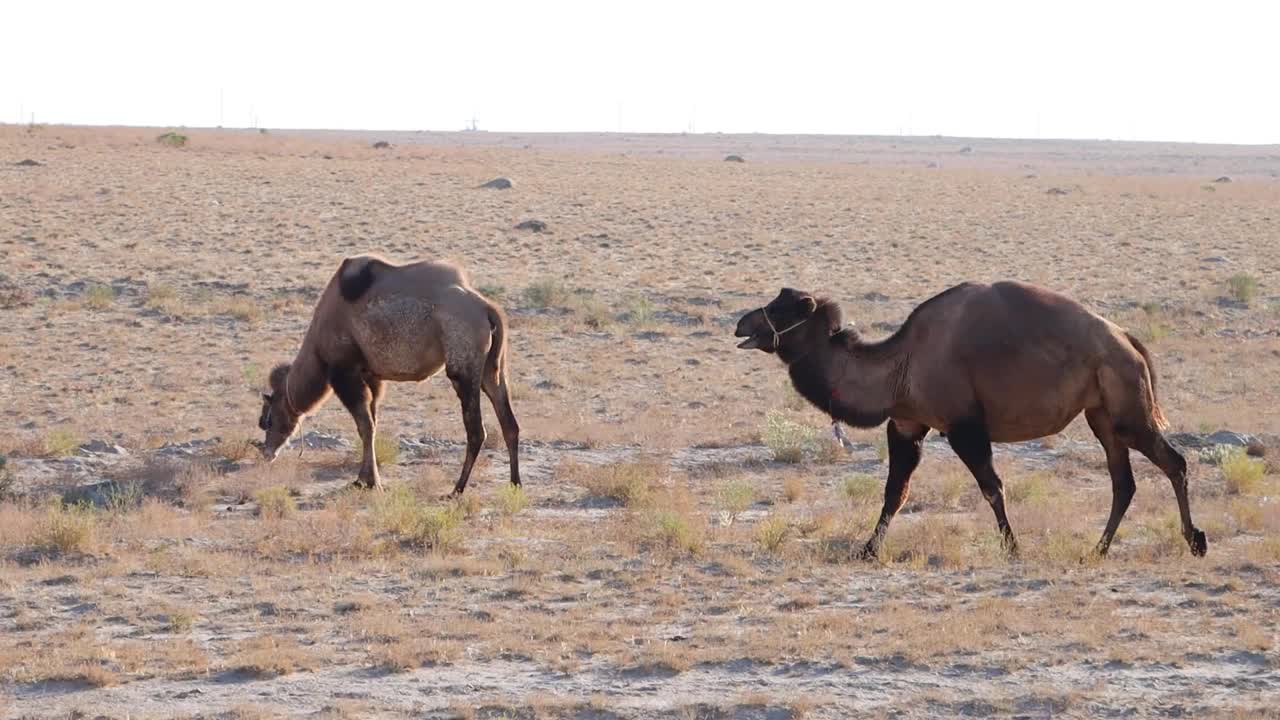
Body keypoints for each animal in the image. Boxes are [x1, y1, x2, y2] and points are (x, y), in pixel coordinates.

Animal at [254, 254, 519, 497]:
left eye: (268, 419)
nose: (267, 453)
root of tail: (487, 308)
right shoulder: (371, 375)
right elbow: (372, 423)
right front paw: (365, 479)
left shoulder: (345, 372)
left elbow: (365, 426)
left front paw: (369, 482)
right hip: (492, 368)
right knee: (508, 421)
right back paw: (515, 484)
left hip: (463, 365)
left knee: (476, 430)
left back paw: (457, 489)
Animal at [737, 283, 1203, 558]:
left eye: (783, 309)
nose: (742, 322)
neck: (900, 364)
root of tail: (1128, 340)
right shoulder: (907, 424)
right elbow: (894, 493)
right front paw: (868, 549)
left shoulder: (963, 426)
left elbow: (992, 487)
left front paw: (1012, 548)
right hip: (1100, 414)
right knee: (1123, 482)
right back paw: (1098, 549)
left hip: (1125, 406)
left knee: (1173, 462)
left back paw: (1195, 541)